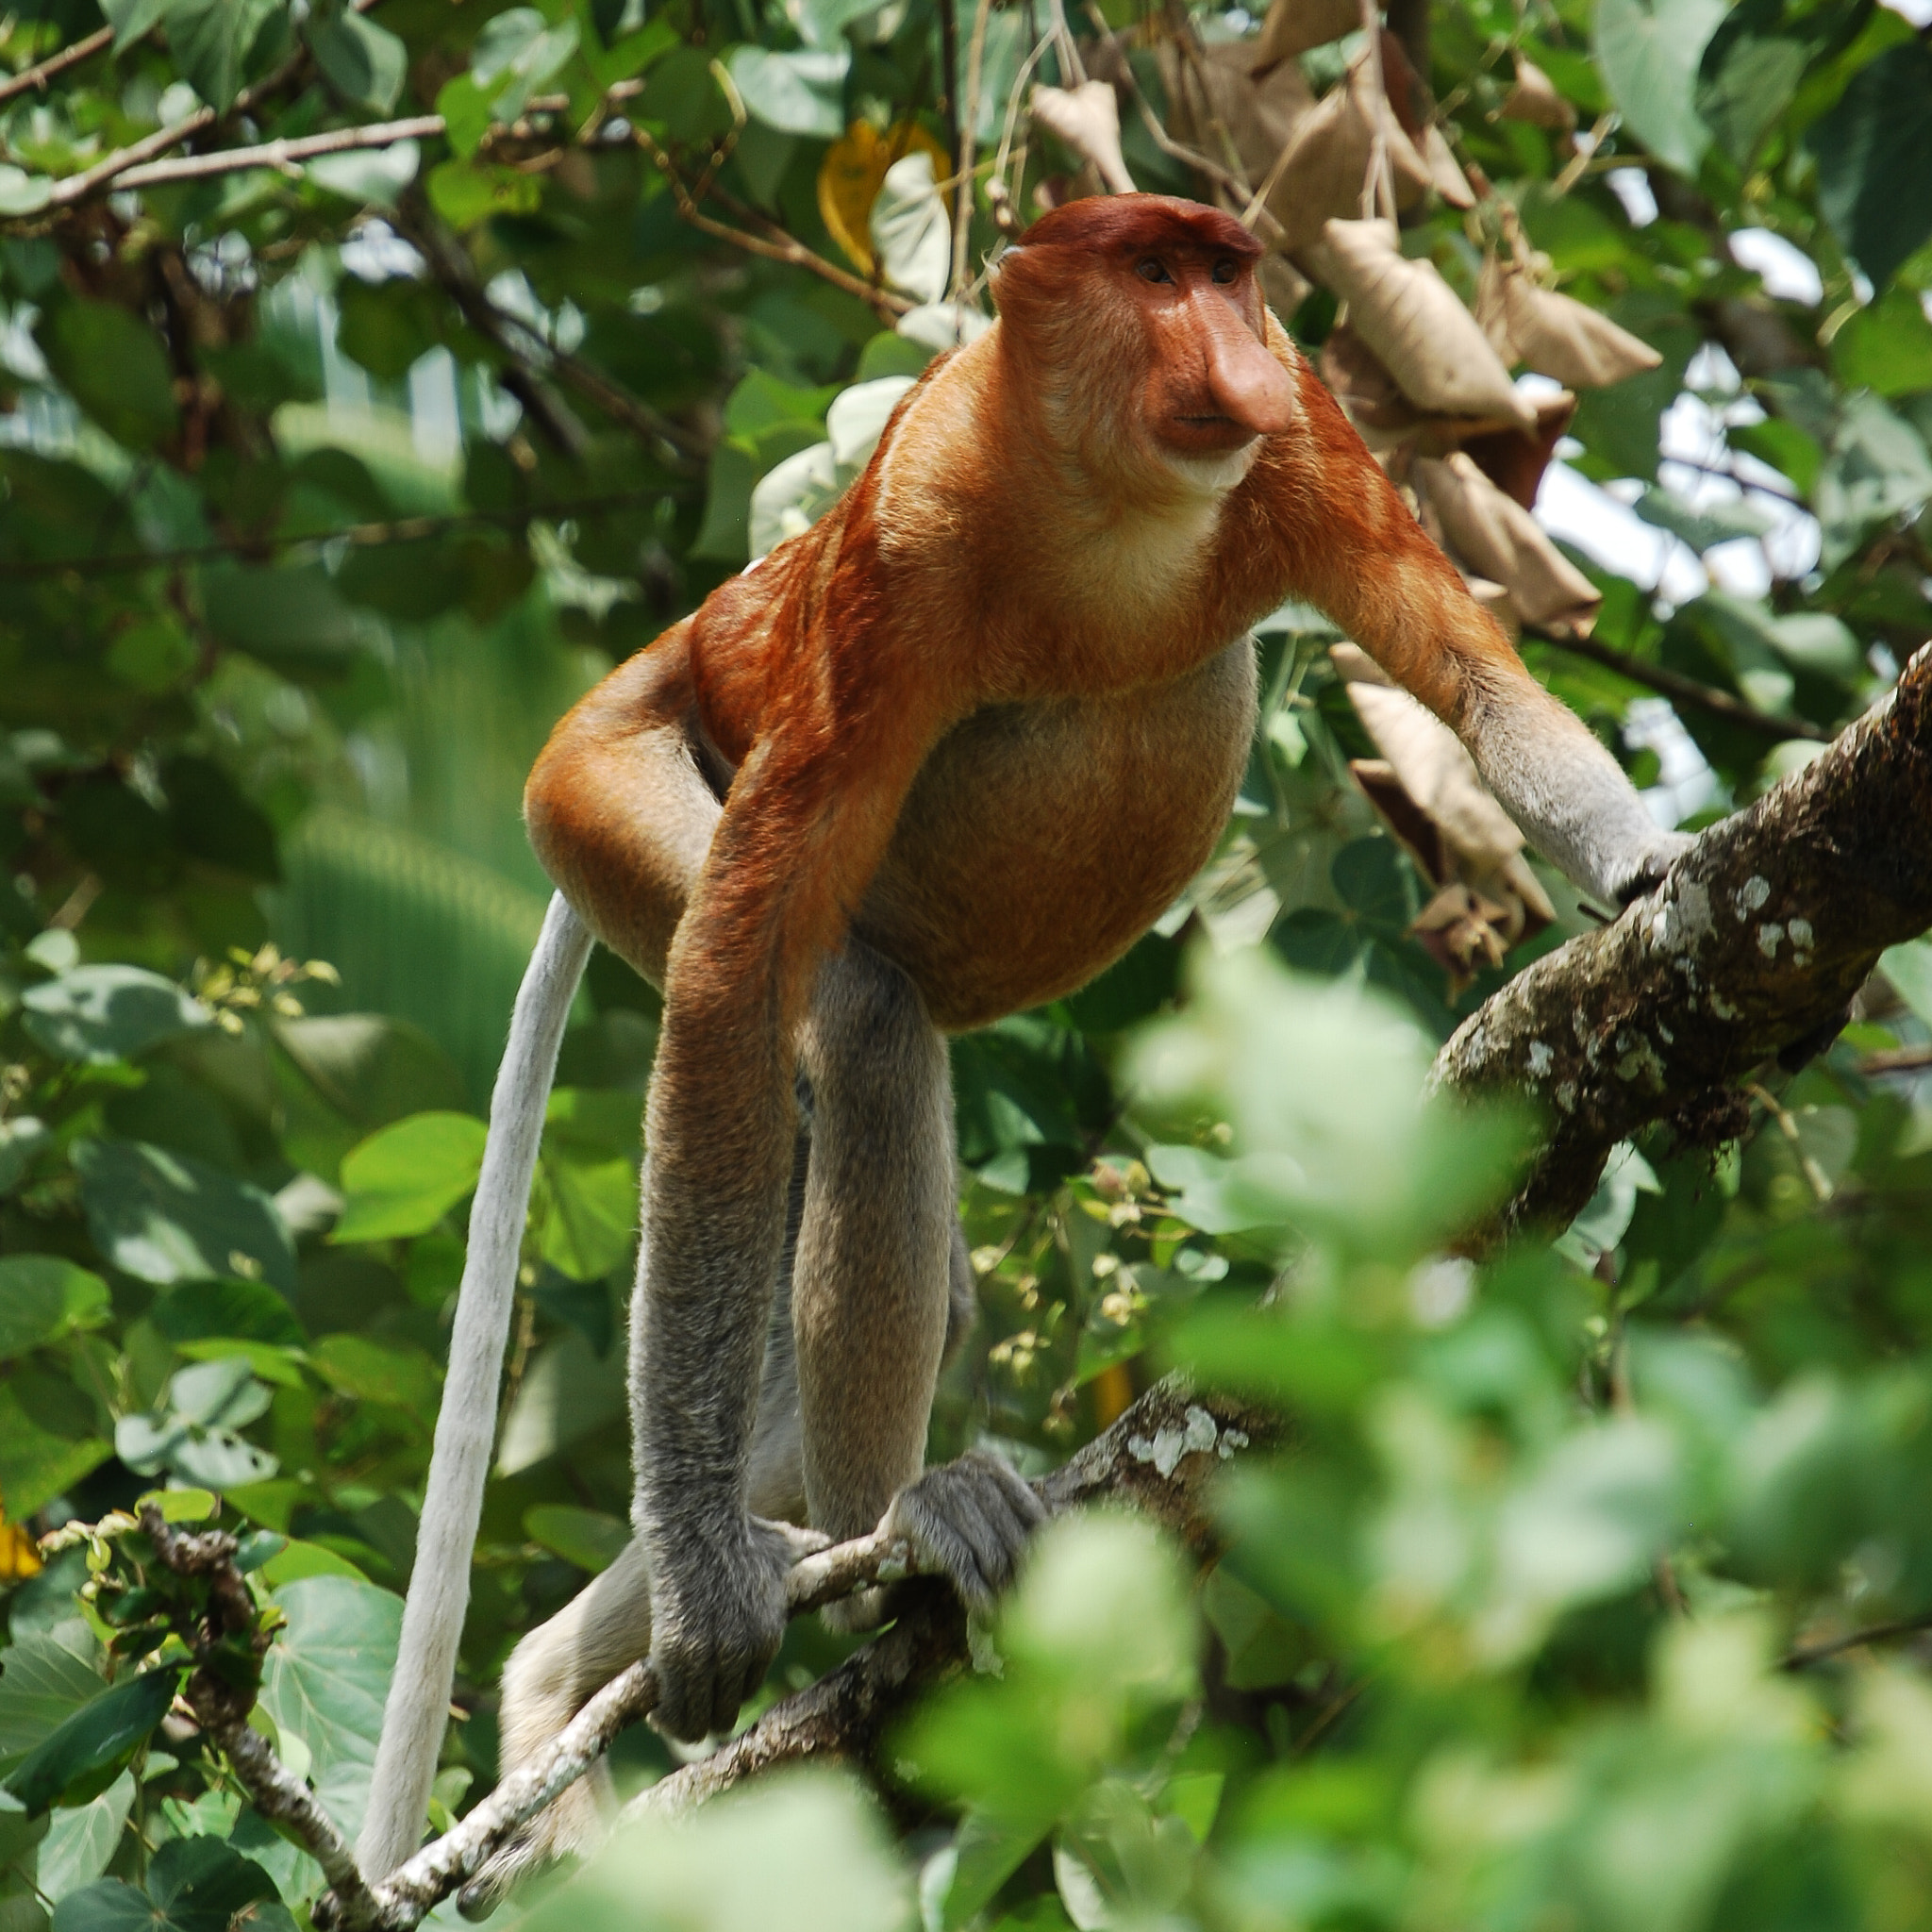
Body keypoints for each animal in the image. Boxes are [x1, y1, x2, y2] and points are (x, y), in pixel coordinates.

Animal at [355, 194, 1690, 1892]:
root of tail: (664, 654)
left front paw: (1654, 875)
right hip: (601, 787)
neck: (1103, 499)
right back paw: (884, 1532)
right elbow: (730, 978)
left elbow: (1469, 675)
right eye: (1153, 274)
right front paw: (714, 1570)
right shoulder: (898, 552)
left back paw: (562, 1682)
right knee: (843, 1020)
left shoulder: (1301, 442)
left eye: (1231, 276)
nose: (1238, 349)